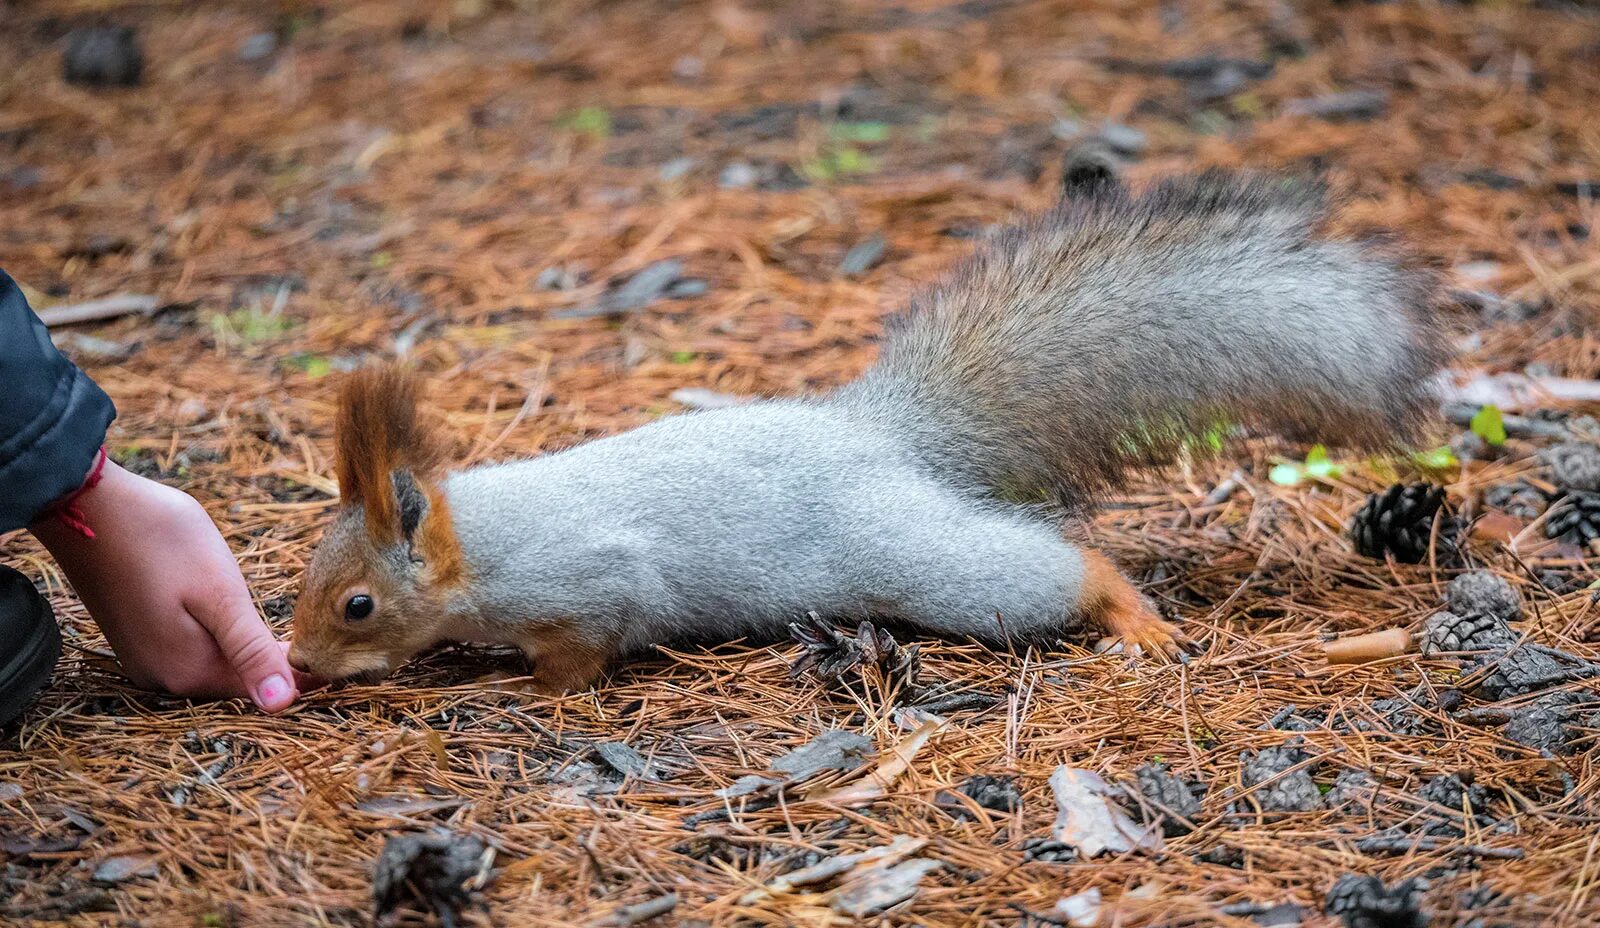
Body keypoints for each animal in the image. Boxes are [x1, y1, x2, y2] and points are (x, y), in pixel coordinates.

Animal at [288, 172, 1452, 697]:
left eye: (358, 604)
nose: (295, 662)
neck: (481, 542)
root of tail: (882, 433)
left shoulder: (590, 581)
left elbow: (584, 645)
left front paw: (534, 685)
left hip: (918, 559)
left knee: (1054, 568)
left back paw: (1129, 613)